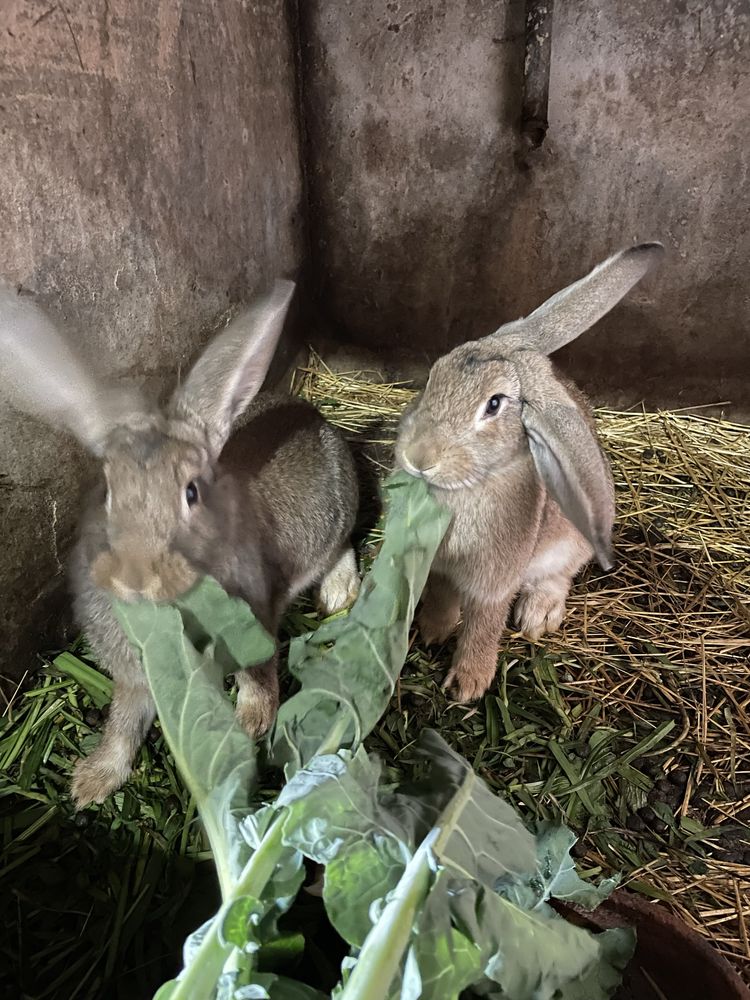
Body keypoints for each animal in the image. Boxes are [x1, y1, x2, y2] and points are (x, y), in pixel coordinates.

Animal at [0, 280, 364, 804]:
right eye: (107, 493)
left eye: (191, 493)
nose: (137, 575)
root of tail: (314, 413)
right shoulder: (135, 679)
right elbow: (124, 723)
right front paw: (91, 782)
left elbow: (258, 677)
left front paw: (249, 724)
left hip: (335, 519)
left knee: (343, 546)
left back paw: (337, 594)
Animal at [396, 242, 668, 704]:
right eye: (433, 375)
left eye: (494, 404)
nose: (418, 457)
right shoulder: (441, 568)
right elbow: (442, 598)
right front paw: (431, 632)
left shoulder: (494, 579)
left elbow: (485, 623)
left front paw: (468, 685)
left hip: (568, 548)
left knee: (558, 578)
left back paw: (537, 616)